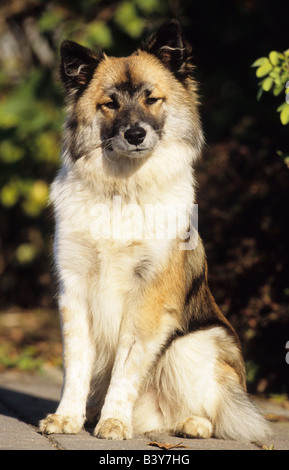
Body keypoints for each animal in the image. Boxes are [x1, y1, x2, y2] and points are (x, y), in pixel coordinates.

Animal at [39, 20, 268, 440]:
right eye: (110, 104)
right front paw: (66, 418)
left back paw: (190, 425)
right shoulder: (73, 291)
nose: (134, 134)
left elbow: (126, 366)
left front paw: (114, 421)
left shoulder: (148, 297)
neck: (122, 192)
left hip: (194, 343)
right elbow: (76, 364)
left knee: (208, 413)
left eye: (152, 99)